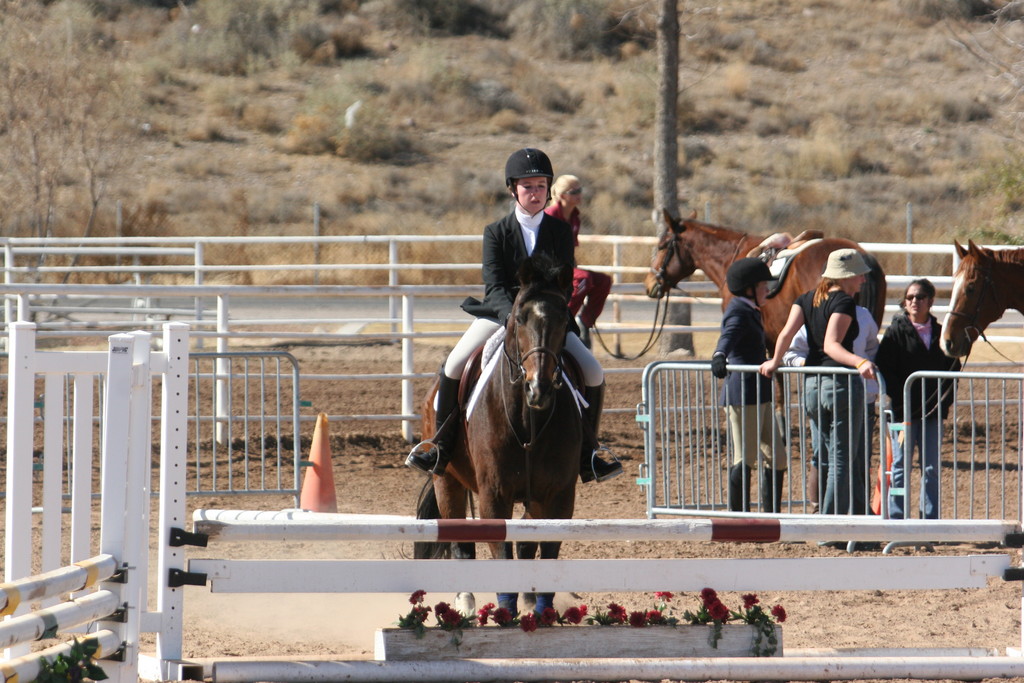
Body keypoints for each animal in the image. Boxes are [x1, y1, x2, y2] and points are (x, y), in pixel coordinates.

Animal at [413, 253, 581, 618]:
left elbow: (543, 546)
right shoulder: (494, 493)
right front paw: (506, 612)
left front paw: (538, 608)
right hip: (447, 479)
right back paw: (464, 603)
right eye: (519, 317)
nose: (538, 389)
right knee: (459, 539)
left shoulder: (558, 494)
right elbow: (500, 549)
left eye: (566, 319)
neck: (528, 420)